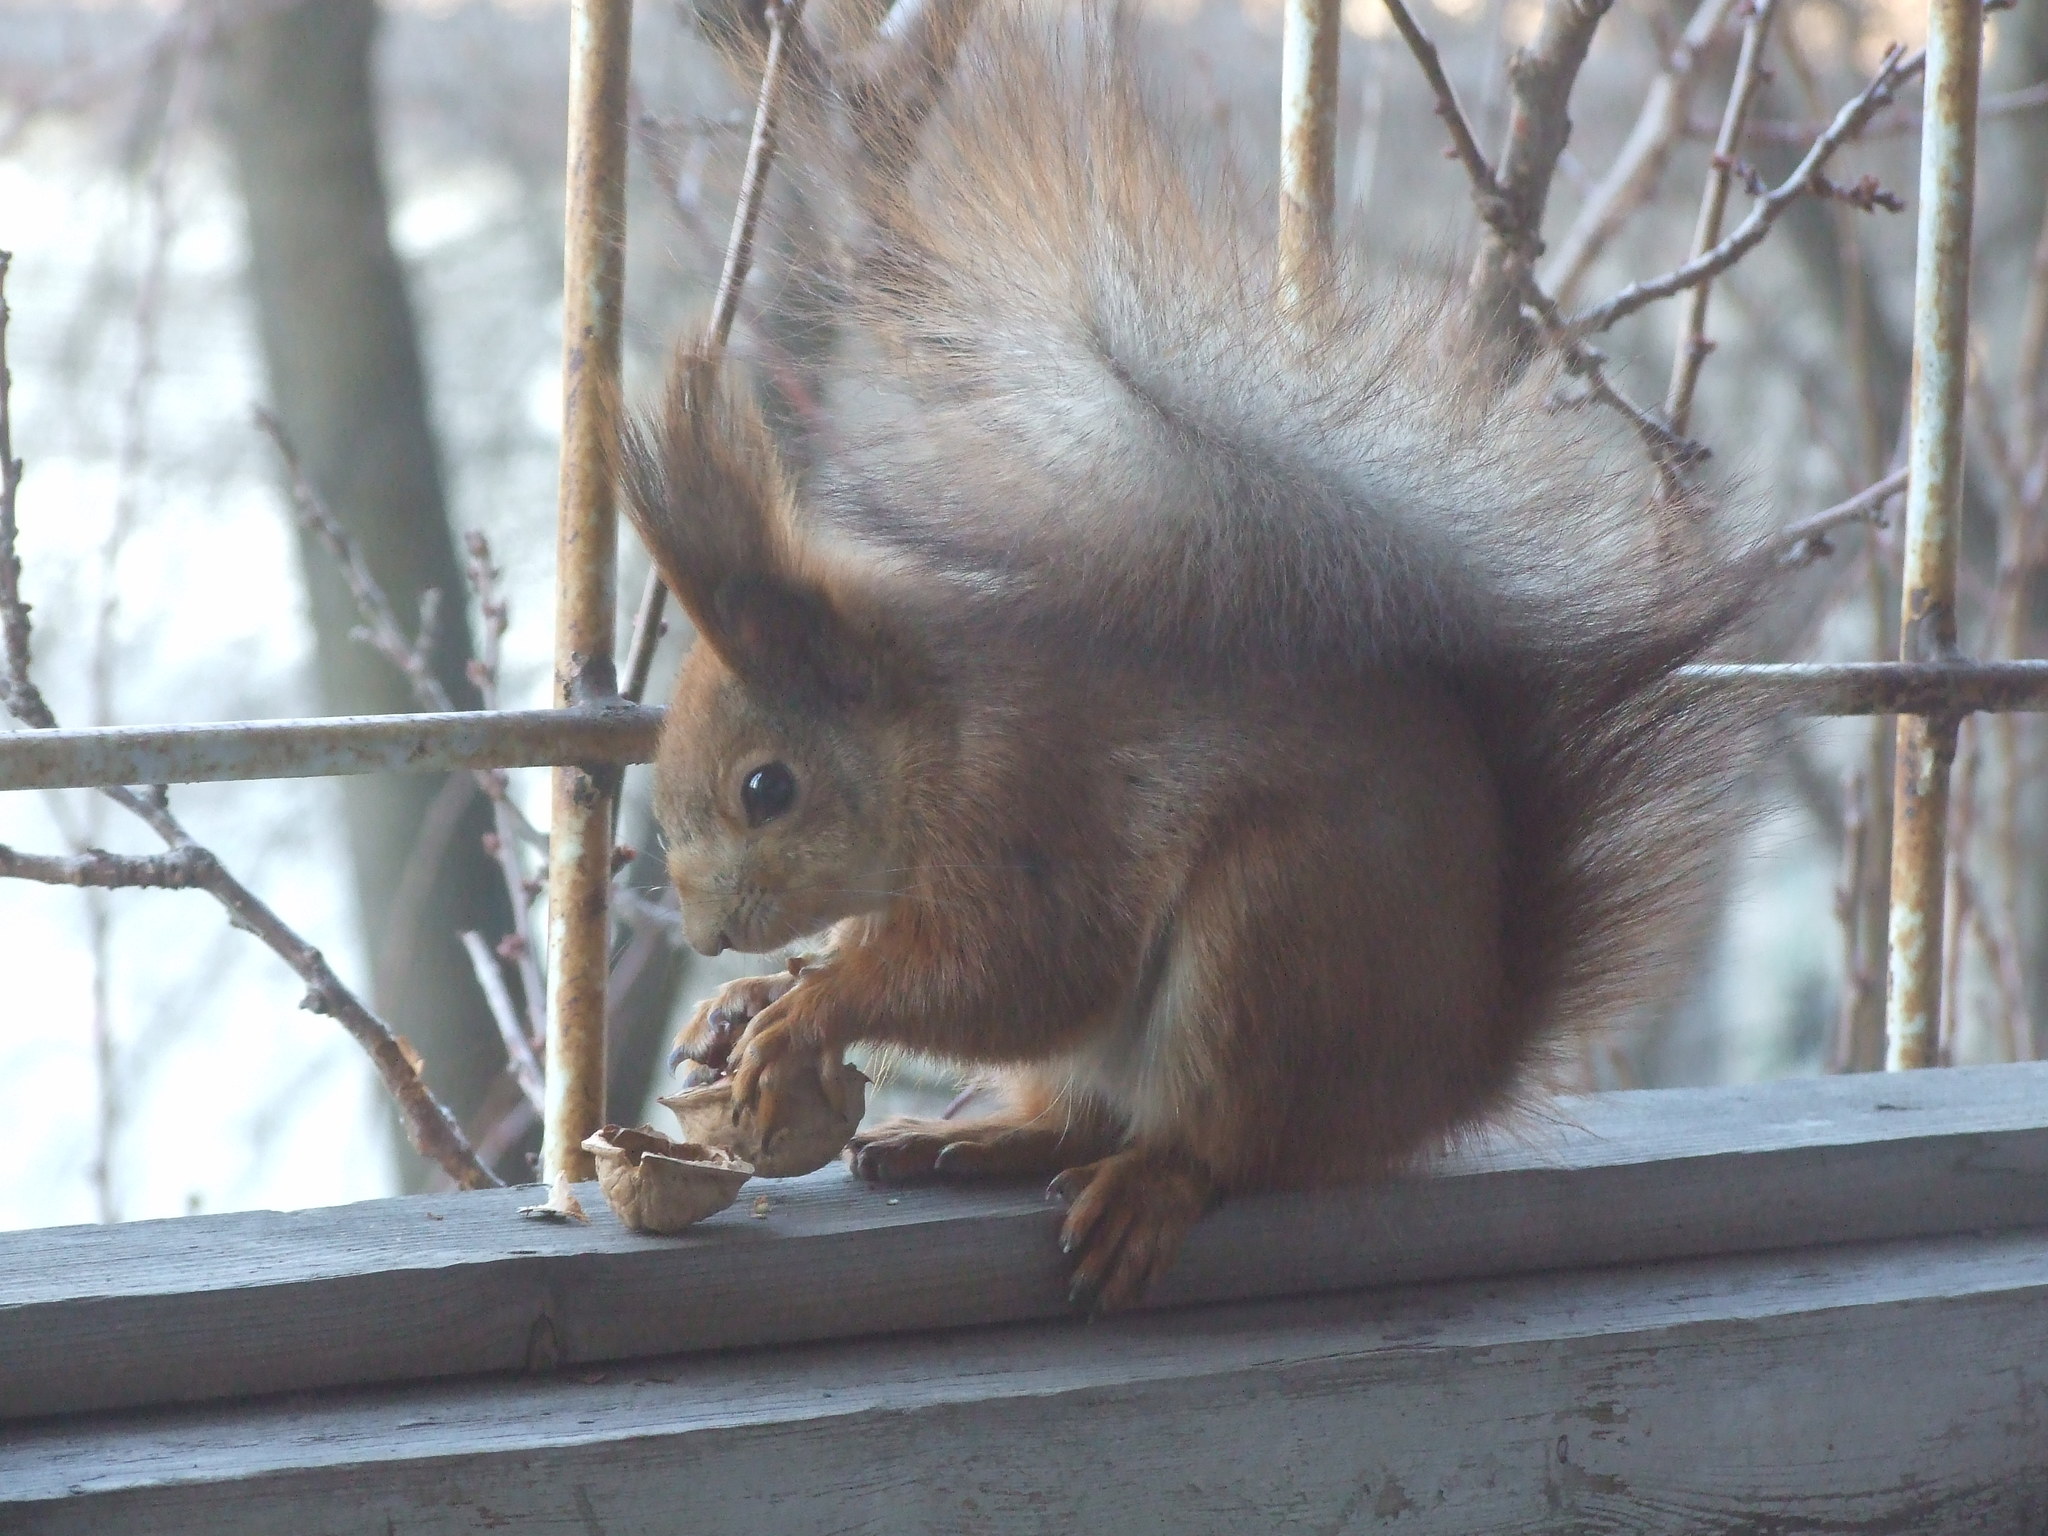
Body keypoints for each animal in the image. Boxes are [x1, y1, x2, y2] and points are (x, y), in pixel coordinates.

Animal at [614, 6, 1769, 1318]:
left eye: (767, 790)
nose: (707, 935)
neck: (933, 726)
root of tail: (1446, 1074)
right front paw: (749, 1000)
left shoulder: (1031, 807)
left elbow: (1025, 967)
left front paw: (809, 1005)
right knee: (1079, 1115)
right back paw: (975, 1137)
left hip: (1276, 941)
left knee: (1224, 1141)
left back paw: (1146, 1186)